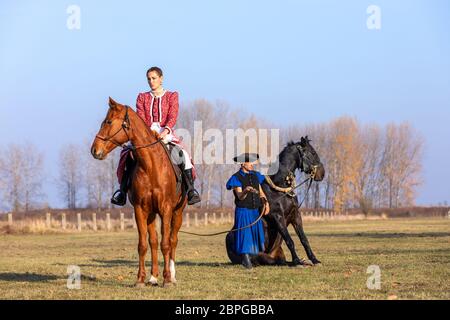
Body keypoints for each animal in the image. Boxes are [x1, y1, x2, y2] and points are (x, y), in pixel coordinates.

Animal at [90, 98, 185, 288]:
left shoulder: (166, 209)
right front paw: (140, 279)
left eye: (108, 122)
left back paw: (172, 275)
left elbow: (166, 243)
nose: (94, 150)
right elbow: (143, 244)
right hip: (151, 214)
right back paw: (153, 277)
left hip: (177, 212)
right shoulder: (140, 210)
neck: (151, 166)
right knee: (153, 241)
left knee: (172, 240)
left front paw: (167, 280)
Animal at [227, 138, 326, 268]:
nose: (322, 173)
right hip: (262, 257)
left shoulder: (295, 216)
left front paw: (314, 260)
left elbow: (304, 239)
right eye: (313, 153)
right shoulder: (277, 216)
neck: (279, 189)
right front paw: (297, 261)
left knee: (282, 261)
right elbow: (289, 240)